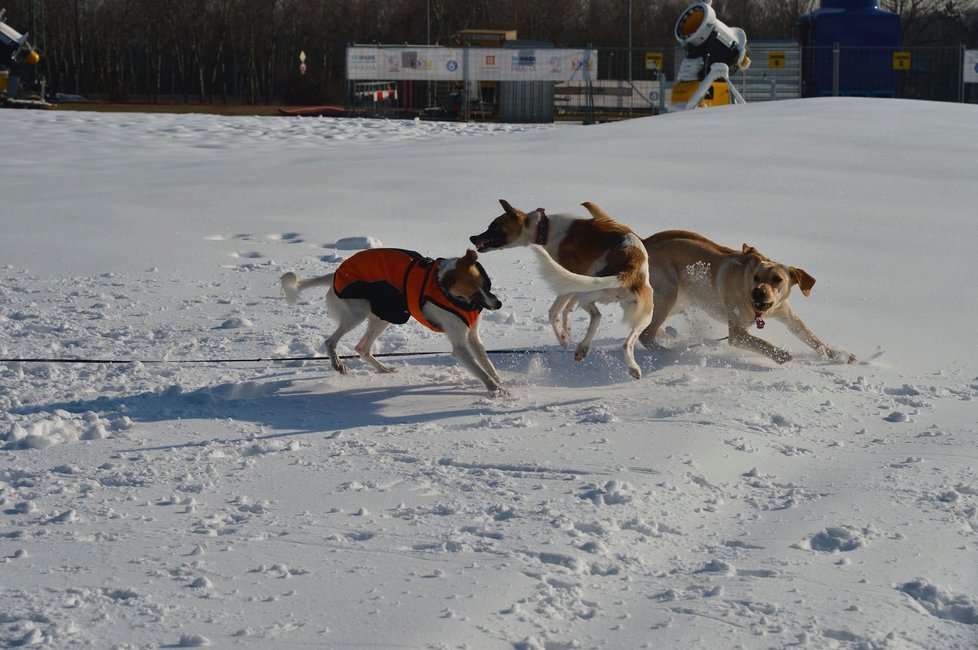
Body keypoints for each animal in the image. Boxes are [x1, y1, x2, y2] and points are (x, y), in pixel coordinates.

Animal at [276, 247, 500, 390]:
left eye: (485, 284)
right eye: (474, 293)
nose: (498, 304)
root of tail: (335, 275)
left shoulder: (472, 337)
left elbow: (487, 365)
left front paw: (499, 381)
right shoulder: (460, 346)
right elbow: (482, 373)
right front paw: (498, 392)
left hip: (383, 316)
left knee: (362, 348)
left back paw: (382, 368)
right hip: (357, 313)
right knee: (330, 341)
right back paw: (338, 363)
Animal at [468, 200, 652, 378]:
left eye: (494, 226)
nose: (472, 238)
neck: (545, 228)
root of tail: (630, 268)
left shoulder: (568, 282)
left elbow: (554, 313)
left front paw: (563, 338)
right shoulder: (575, 283)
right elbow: (567, 310)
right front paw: (567, 329)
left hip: (590, 292)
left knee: (595, 316)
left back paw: (581, 347)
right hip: (641, 313)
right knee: (622, 340)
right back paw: (626, 365)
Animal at [636, 232, 852, 364]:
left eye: (777, 279)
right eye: (756, 277)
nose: (758, 292)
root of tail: (645, 242)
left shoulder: (788, 316)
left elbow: (811, 337)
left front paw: (836, 355)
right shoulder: (738, 333)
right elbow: (761, 343)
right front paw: (780, 354)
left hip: (680, 300)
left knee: (647, 327)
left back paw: (670, 336)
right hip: (669, 293)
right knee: (646, 334)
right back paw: (667, 352)